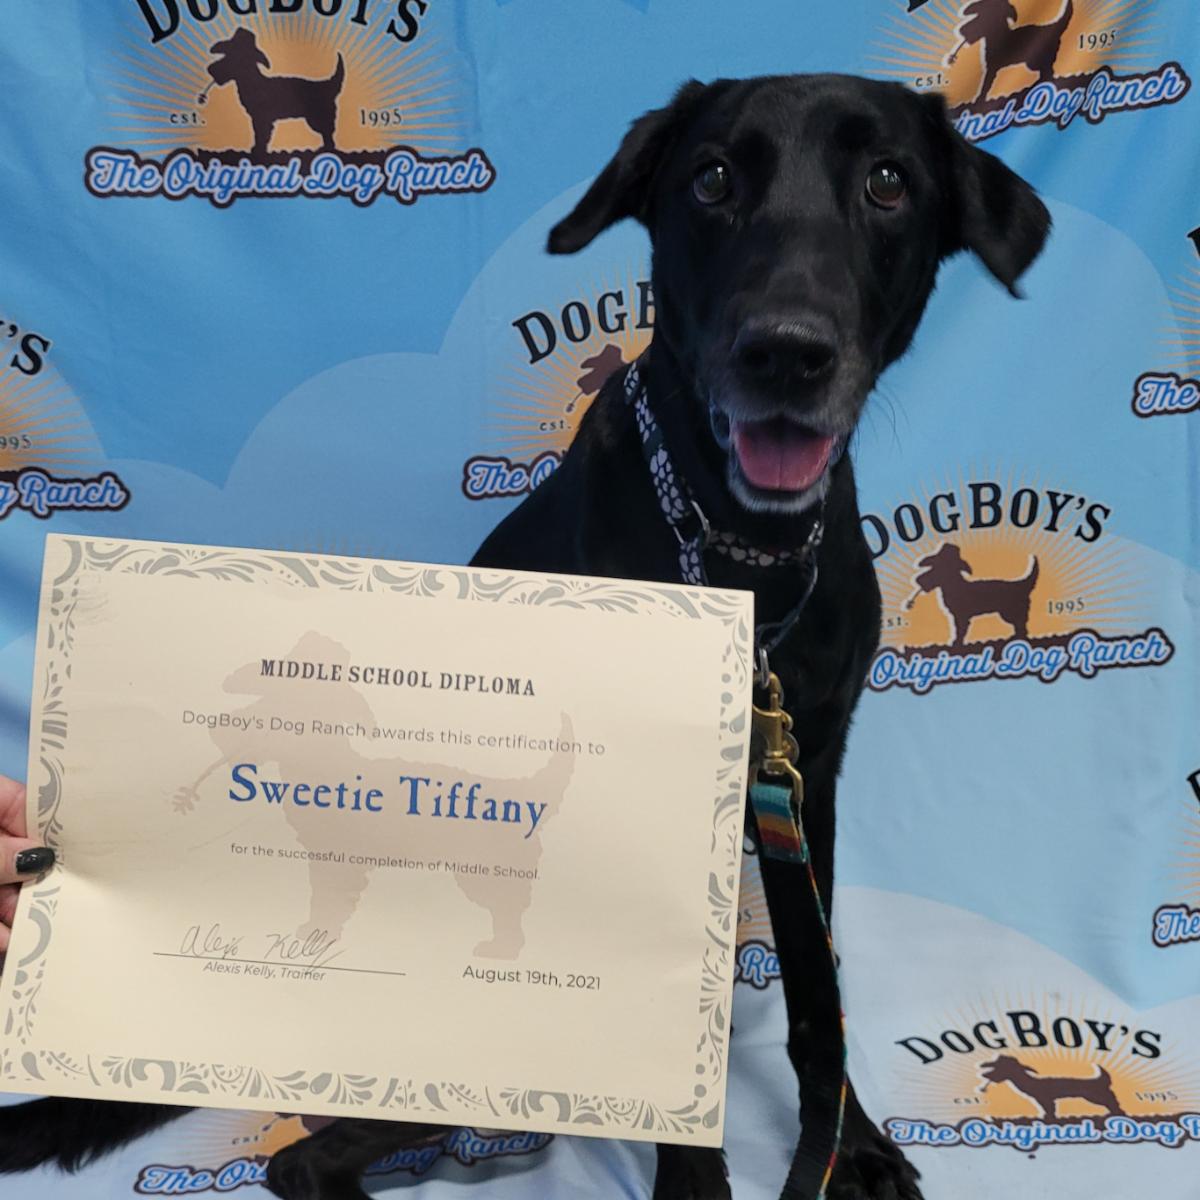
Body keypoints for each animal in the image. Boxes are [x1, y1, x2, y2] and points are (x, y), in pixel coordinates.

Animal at [206, 28, 345, 157]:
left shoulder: (263, 118)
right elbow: (259, 134)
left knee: (328, 133)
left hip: (318, 117)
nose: (211, 69)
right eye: (226, 54)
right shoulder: (258, 118)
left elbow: (262, 135)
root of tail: (326, 83)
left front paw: (258, 150)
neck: (252, 80)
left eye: (233, 57)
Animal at [905, 542, 1039, 646]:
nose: (919, 580)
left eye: (938, 568)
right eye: (932, 565)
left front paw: (957, 643)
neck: (955, 585)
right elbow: (958, 629)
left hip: (1010, 612)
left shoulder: (962, 616)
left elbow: (960, 630)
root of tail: (1020, 584)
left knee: (1021, 626)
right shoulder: (956, 616)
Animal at [979, 1054, 1125, 1119]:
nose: (985, 1074)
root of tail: (1101, 1080)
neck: (1032, 1082)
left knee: (1113, 1102)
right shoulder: (1045, 1101)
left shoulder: (1047, 1099)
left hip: (1096, 1096)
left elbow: (1050, 1111)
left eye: (1003, 1067)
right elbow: (1049, 1112)